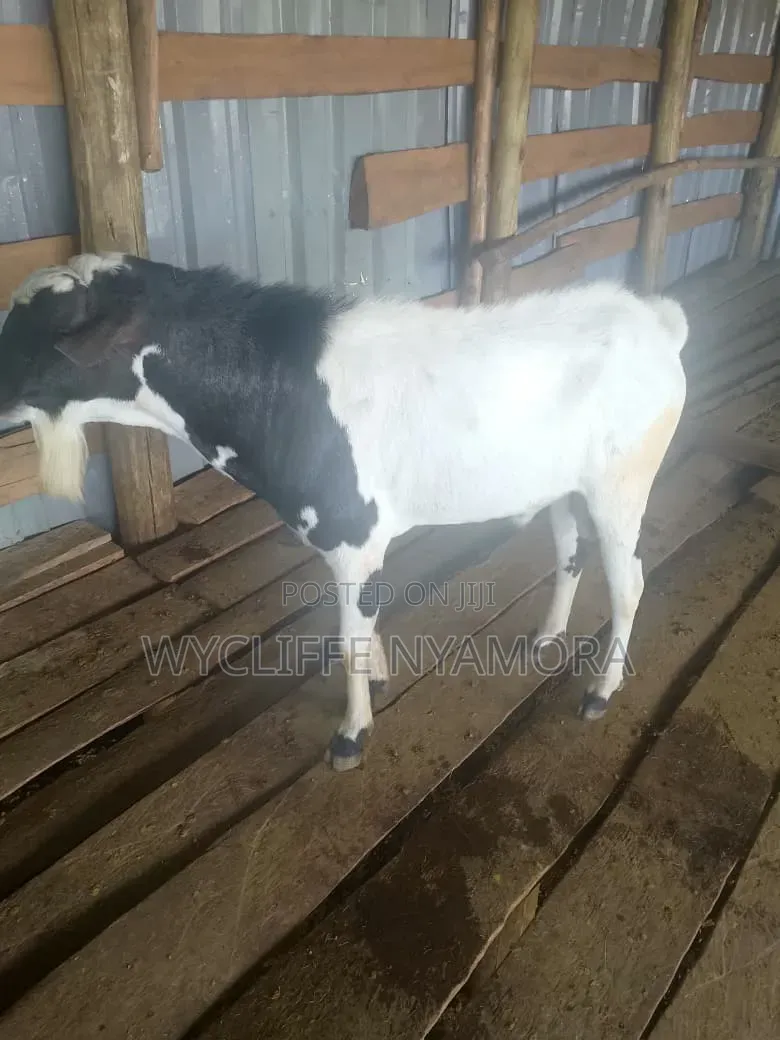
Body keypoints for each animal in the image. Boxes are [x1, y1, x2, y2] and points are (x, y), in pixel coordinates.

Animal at [0, 252, 688, 771]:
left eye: (41, 335)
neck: (284, 384)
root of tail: (655, 318)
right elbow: (365, 623)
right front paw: (379, 681)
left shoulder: (355, 534)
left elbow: (348, 635)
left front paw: (351, 735)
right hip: (564, 485)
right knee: (570, 550)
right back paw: (545, 640)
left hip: (622, 485)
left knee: (629, 580)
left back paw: (600, 692)